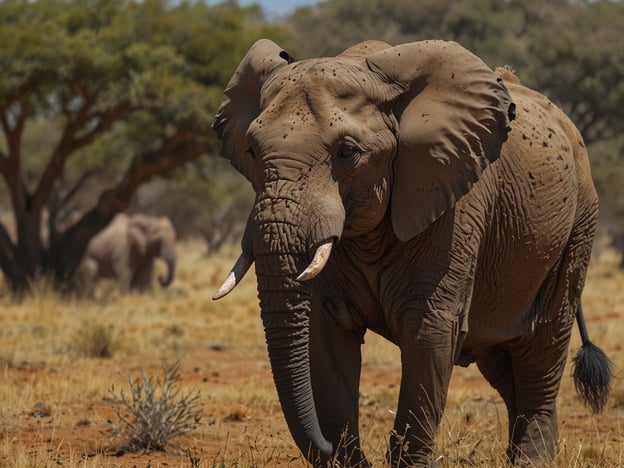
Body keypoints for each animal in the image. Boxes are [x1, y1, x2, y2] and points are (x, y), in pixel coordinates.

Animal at [212, 38, 612, 466]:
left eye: (347, 152)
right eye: (252, 151)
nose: (327, 446)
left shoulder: (455, 211)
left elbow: (428, 334)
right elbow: (325, 338)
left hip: (578, 226)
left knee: (542, 350)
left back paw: (532, 459)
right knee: (501, 360)